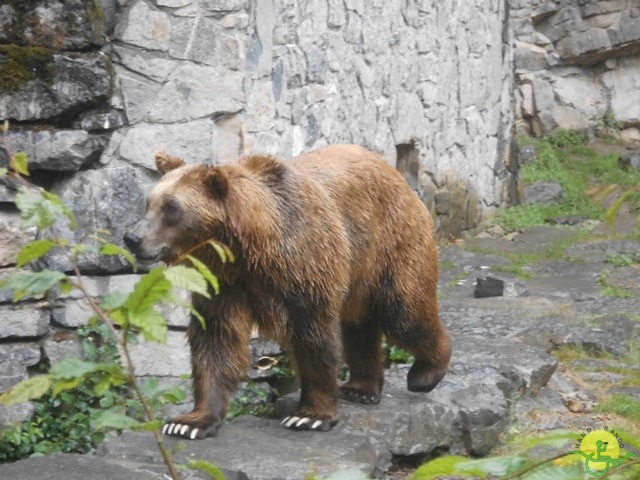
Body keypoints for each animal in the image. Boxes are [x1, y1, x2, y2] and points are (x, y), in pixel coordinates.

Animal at [124, 145, 450, 438]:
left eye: (172, 207)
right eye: (149, 202)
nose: (132, 238)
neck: (248, 249)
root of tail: (397, 175)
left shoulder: (305, 266)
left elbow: (314, 337)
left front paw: (309, 417)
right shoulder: (221, 283)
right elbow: (216, 340)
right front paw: (189, 422)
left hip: (389, 245)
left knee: (403, 313)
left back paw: (426, 372)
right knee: (360, 325)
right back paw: (361, 388)